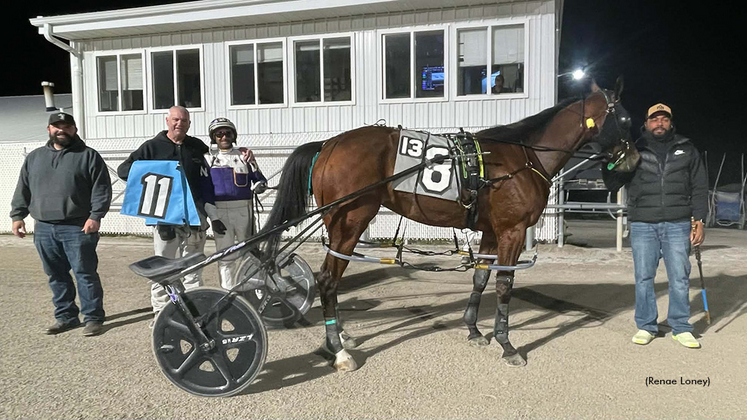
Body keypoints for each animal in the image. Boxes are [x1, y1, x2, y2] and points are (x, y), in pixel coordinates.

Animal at [259, 79, 637, 370]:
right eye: (626, 118)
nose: (632, 159)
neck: (523, 158)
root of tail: (329, 144)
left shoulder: (490, 231)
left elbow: (481, 278)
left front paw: (474, 330)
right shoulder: (511, 231)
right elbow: (505, 285)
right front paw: (507, 344)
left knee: (331, 281)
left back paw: (339, 336)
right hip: (349, 223)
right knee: (327, 279)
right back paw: (338, 350)